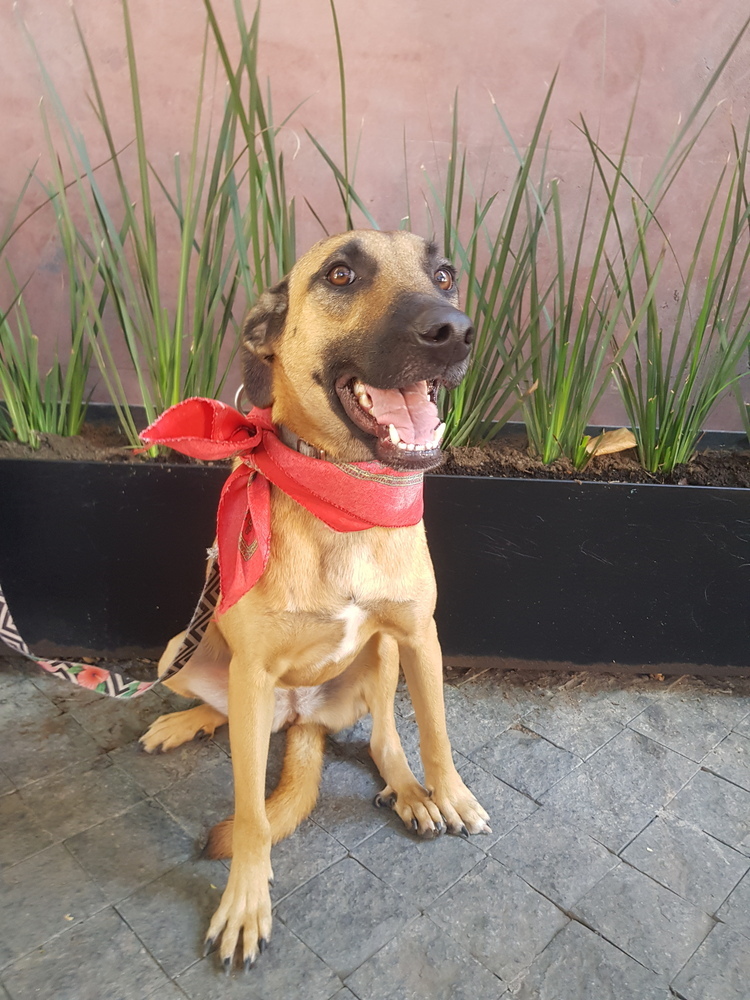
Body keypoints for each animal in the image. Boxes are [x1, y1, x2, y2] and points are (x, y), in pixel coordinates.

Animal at [141, 232, 494, 968]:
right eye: (340, 274)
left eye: (445, 274)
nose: (453, 331)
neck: (346, 493)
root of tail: (303, 719)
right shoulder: (251, 671)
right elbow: (251, 813)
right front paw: (245, 902)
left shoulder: (419, 636)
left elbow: (436, 733)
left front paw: (449, 793)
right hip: (181, 655)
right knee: (226, 716)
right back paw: (185, 722)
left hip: (382, 656)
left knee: (386, 736)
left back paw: (410, 792)